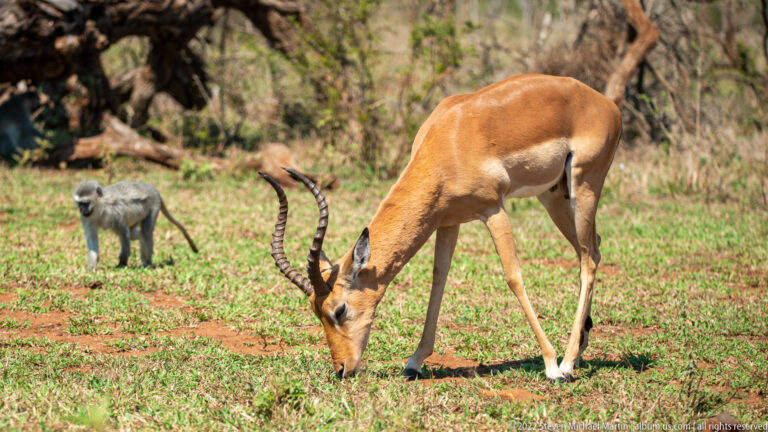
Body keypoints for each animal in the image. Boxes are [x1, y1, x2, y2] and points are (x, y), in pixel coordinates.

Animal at [260, 74, 621, 381]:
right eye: (316, 313)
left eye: (339, 309)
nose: (341, 369)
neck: (449, 139)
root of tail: (608, 105)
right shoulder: (448, 220)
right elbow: (438, 279)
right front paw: (414, 362)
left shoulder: (493, 209)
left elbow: (513, 276)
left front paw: (550, 366)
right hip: (555, 196)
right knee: (592, 249)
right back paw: (580, 349)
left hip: (584, 186)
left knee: (589, 260)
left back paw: (568, 364)